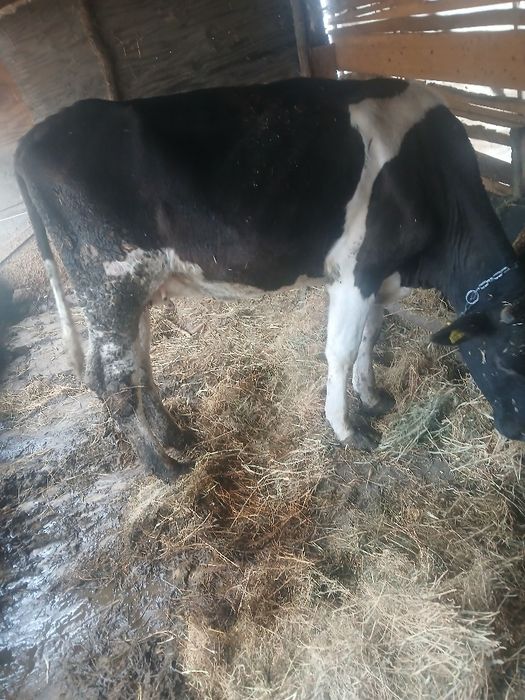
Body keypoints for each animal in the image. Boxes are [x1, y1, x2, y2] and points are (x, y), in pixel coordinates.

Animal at [15, 77, 525, 482]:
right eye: (506, 361)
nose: (516, 432)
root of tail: (35, 135)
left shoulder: (382, 271)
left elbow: (371, 335)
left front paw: (372, 397)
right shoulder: (356, 270)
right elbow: (341, 351)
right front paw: (348, 429)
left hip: (134, 288)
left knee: (139, 366)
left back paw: (176, 435)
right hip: (109, 283)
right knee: (112, 382)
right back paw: (166, 468)